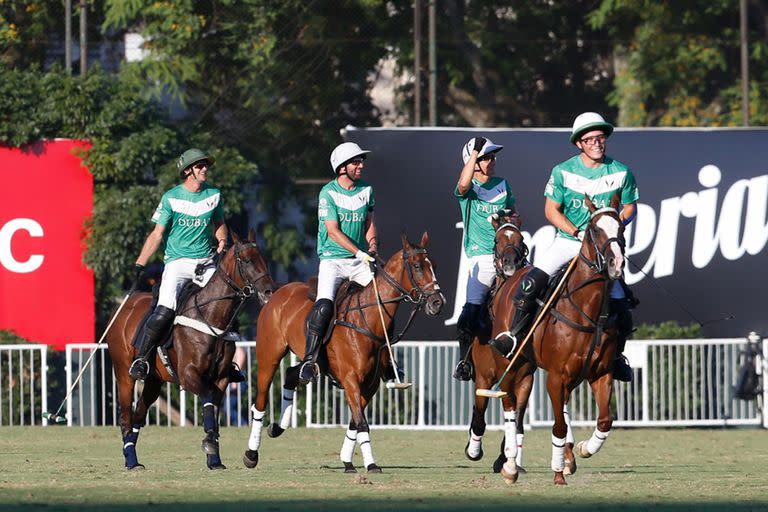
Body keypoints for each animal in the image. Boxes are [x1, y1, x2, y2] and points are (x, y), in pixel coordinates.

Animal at [106, 230, 274, 470]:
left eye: (264, 259)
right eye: (247, 260)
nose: (269, 291)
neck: (212, 316)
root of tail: (120, 310)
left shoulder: (221, 378)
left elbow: (213, 407)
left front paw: (214, 458)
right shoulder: (188, 375)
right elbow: (208, 398)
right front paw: (210, 445)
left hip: (154, 380)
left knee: (139, 414)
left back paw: (133, 457)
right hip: (123, 374)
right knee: (126, 418)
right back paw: (130, 460)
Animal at [243, 232, 448, 472]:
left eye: (434, 265)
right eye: (416, 266)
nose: (438, 302)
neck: (368, 319)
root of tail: (276, 292)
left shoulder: (370, 383)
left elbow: (355, 421)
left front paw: (347, 460)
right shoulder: (351, 379)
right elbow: (362, 423)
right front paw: (371, 464)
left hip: (307, 361)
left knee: (293, 374)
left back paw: (277, 427)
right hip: (269, 355)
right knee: (260, 400)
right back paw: (251, 454)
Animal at [488, 195, 628, 484]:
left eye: (620, 228)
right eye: (594, 229)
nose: (616, 263)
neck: (587, 310)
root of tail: (511, 279)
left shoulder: (601, 374)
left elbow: (605, 420)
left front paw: (583, 449)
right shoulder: (556, 376)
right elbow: (559, 425)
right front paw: (558, 472)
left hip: (532, 369)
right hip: (508, 362)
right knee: (509, 407)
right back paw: (510, 465)